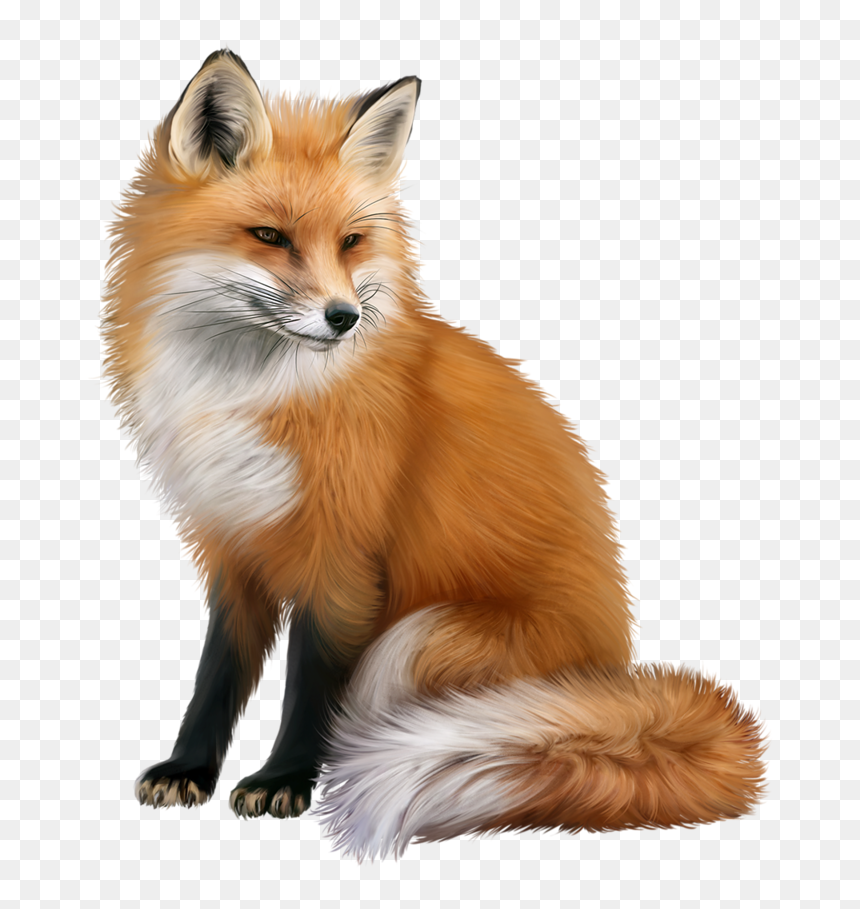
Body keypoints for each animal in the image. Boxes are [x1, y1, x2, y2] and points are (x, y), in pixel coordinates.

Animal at [102, 49, 765, 859]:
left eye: (351, 242)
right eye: (269, 235)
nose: (345, 317)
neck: (252, 392)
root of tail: (612, 670)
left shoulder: (344, 556)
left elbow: (308, 685)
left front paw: (285, 779)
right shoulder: (232, 544)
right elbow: (216, 675)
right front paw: (189, 769)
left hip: (416, 637)